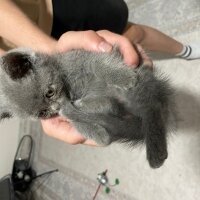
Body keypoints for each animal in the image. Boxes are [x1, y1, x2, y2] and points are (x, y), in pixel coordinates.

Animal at [0, 47, 175, 168]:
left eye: (49, 93)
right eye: (42, 113)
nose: (56, 107)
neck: (69, 86)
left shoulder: (85, 57)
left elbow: (99, 64)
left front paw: (125, 77)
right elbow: (79, 123)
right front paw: (98, 134)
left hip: (140, 88)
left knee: (152, 111)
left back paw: (156, 153)